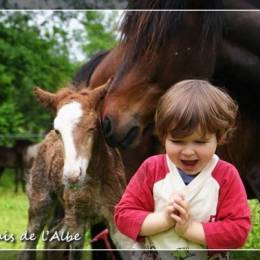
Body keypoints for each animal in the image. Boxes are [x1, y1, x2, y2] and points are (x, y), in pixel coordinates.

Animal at [19, 83, 132, 260]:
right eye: (58, 130)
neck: (95, 179)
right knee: (30, 243)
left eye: (92, 128)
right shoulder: (76, 220)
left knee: (53, 238)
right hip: (41, 201)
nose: (72, 177)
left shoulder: (115, 215)